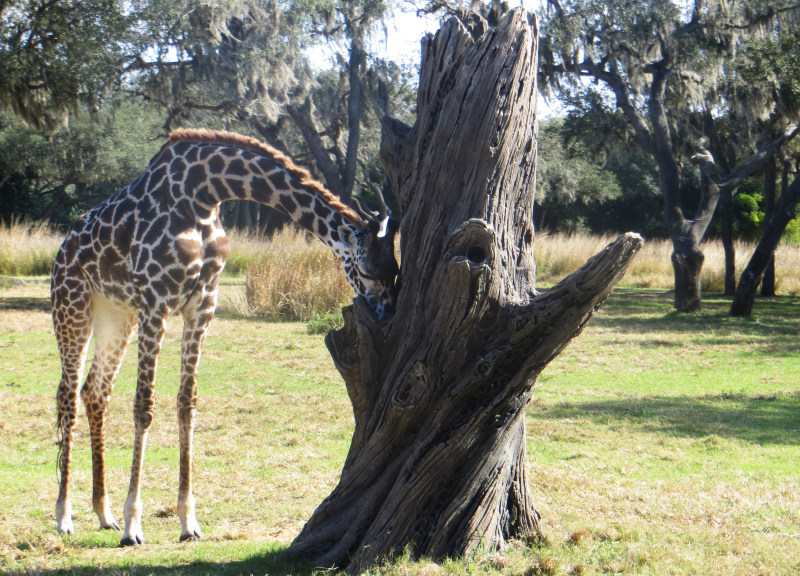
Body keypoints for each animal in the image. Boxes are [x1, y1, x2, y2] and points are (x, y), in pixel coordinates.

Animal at [51, 128, 398, 548]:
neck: (203, 193)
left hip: (116, 316)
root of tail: (61, 250)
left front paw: (188, 521)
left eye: (395, 271)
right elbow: (144, 406)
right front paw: (135, 525)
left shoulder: (203, 303)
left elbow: (187, 403)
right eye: (366, 271)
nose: (387, 314)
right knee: (67, 396)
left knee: (95, 392)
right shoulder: (157, 300)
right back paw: (64, 517)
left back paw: (103, 514)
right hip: (73, 306)